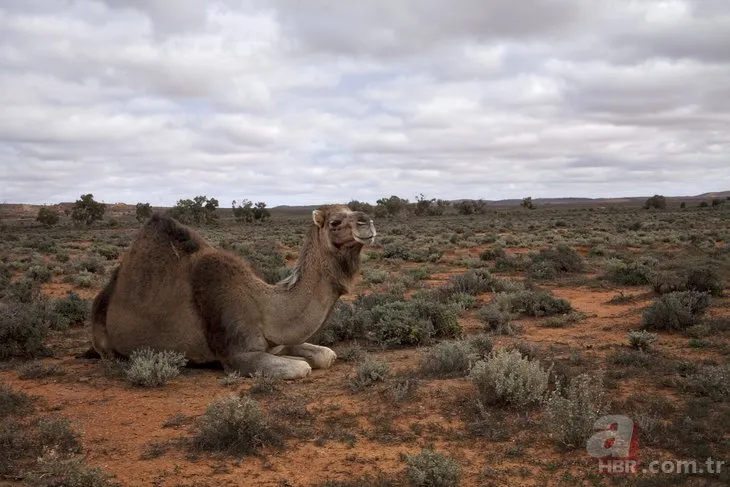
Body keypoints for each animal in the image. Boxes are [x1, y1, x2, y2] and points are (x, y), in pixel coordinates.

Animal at [89, 204, 376, 380]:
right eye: (335, 222)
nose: (367, 222)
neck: (264, 306)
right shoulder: (236, 355)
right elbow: (302, 368)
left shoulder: (278, 342)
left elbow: (326, 355)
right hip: (103, 337)